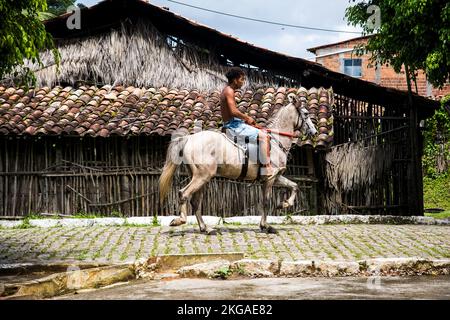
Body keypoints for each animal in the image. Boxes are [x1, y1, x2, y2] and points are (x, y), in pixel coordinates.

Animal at [160, 92, 318, 232]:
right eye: (306, 114)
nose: (315, 132)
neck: (275, 140)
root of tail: (189, 138)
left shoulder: (276, 177)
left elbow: (295, 186)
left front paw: (284, 204)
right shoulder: (270, 179)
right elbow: (266, 202)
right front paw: (265, 226)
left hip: (200, 177)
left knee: (195, 202)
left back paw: (205, 228)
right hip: (202, 176)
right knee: (184, 194)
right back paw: (180, 220)